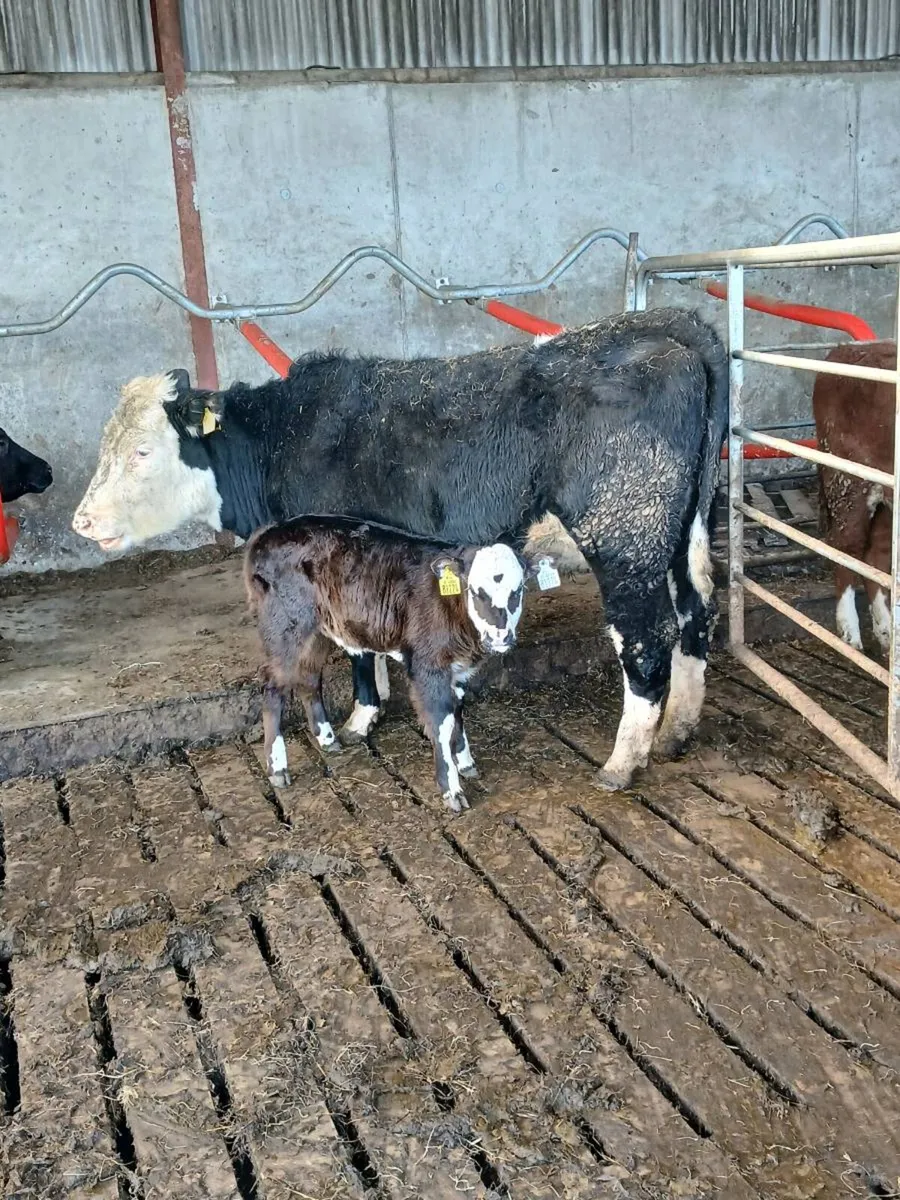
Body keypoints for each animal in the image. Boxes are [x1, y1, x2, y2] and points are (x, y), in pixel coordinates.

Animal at [245, 516, 531, 811]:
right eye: (475, 591)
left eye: (518, 590)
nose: (501, 636)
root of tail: (270, 531)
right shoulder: (428, 666)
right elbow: (442, 721)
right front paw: (451, 790)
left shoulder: (458, 670)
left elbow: (458, 713)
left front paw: (465, 763)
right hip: (285, 627)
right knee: (273, 686)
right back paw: (278, 768)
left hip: (318, 630)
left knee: (309, 678)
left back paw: (326, 739)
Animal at [813, 340, 896, 656]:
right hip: (848, 480)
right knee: (846, 546)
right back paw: (849, 633)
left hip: (883, 494)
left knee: (875, 555)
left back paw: (886, 632)